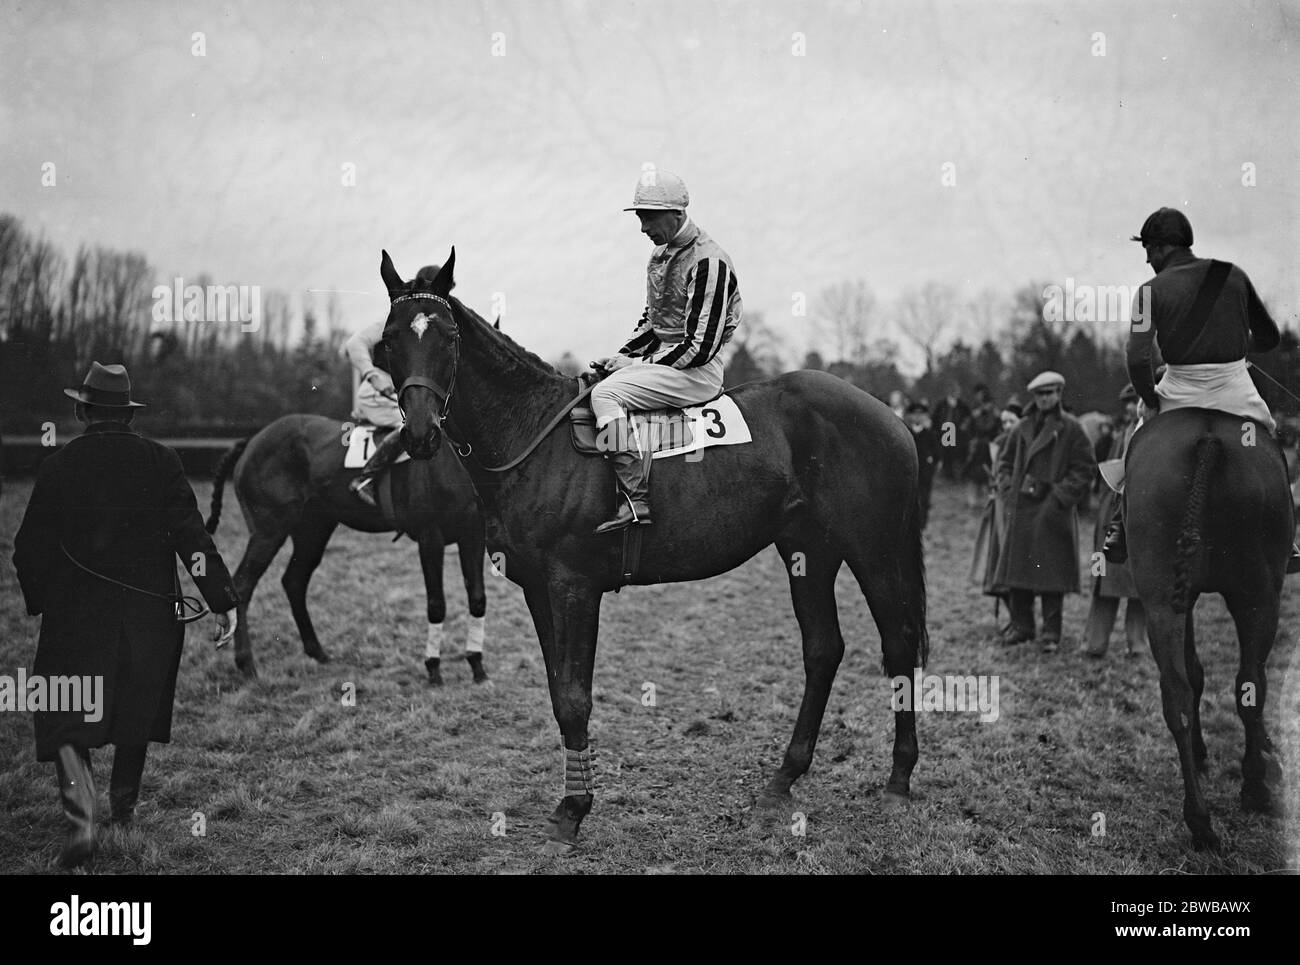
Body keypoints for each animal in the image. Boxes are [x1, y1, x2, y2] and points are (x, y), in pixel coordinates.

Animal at [202, 416, 488, 686]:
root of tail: (253, 440)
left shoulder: (474, 534)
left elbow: (477, 598)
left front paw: (477, 666)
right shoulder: (430, 537)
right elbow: (436, 604)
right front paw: (433, 668)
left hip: (312, 531)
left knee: (294, 581)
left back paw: (317, 651)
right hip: (268, 532)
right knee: (242, 586)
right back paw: (246, 664)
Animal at [374, 251, 925, 853]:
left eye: (448, 336)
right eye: (390, 338)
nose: (420, 433)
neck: (535, 439)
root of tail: (890, 415)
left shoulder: (574, 588)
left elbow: (575, 697)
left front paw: (573, 809)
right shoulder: (538, 590)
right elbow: (558, 691)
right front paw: (570, 802)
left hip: (874, 550)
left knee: (898, 645)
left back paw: (898, 781)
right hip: (808, 551)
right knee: (823, 650)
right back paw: (783, 779)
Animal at [1128, 410, 1289, 847]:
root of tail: (1208, 439)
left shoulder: (1181, 596)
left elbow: (1195, 674)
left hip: (1164, 599)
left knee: (1181, 693)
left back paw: (1200, 818)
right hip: (1259, 597)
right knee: (1249, 682)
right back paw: (1252, 789)